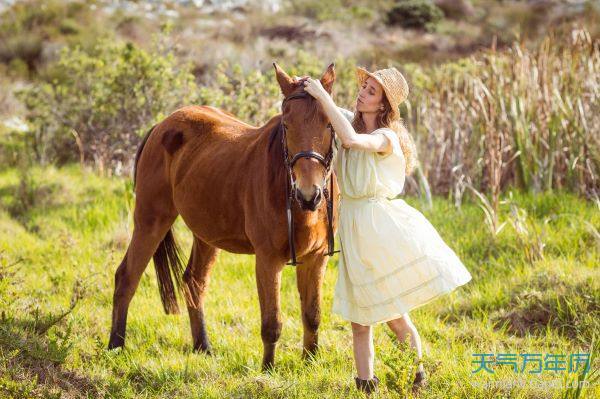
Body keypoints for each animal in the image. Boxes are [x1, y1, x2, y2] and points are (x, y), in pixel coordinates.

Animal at [108, 62, 340, 372]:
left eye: (328, 124)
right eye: (286, 125)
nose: (308, 194)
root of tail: (161, 126)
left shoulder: (316, 259)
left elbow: (312, 315)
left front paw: (310, 363)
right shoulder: (268, 260)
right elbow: (272, 323)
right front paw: (267, 371)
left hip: (206, 234)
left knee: (194, 282)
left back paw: (203, 347)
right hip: (151, 220)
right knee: (127, 277)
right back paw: (115, 347)